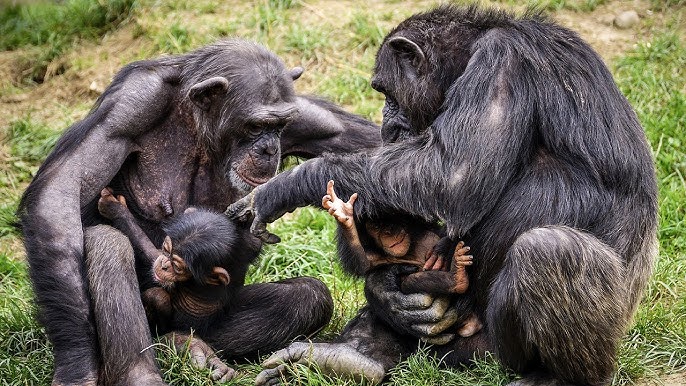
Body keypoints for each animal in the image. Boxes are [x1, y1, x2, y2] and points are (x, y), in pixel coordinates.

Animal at [17, 37, 382, 386]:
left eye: (280, 127)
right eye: (255, 127)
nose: (269, 149)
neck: (197, 122)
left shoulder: (307, 117)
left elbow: (376, 146)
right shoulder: (131, 104)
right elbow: (62, 190)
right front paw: (77, 362)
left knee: (308, 296)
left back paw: (191, 348)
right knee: (107, 242)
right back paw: (143, 372)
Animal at [324, 181, 482, 338]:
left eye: (393, 218)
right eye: (376, 225)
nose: (389, 232)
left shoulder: (430, 234)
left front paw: (444, 246)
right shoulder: (377, 256)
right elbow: (363, 262)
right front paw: (344, 215)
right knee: (409, 282)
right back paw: (457, 278)